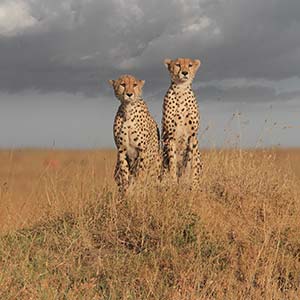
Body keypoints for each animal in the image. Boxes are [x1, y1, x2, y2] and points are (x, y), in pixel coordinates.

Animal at [161, 57, 203, 188]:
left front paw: (185, 180)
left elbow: (188, 161)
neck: (181, 90)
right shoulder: (170, 135)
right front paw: (173, 181)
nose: (184, 73)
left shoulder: (192, 135)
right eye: (178, 65)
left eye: (189, 65)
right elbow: (173, 161)